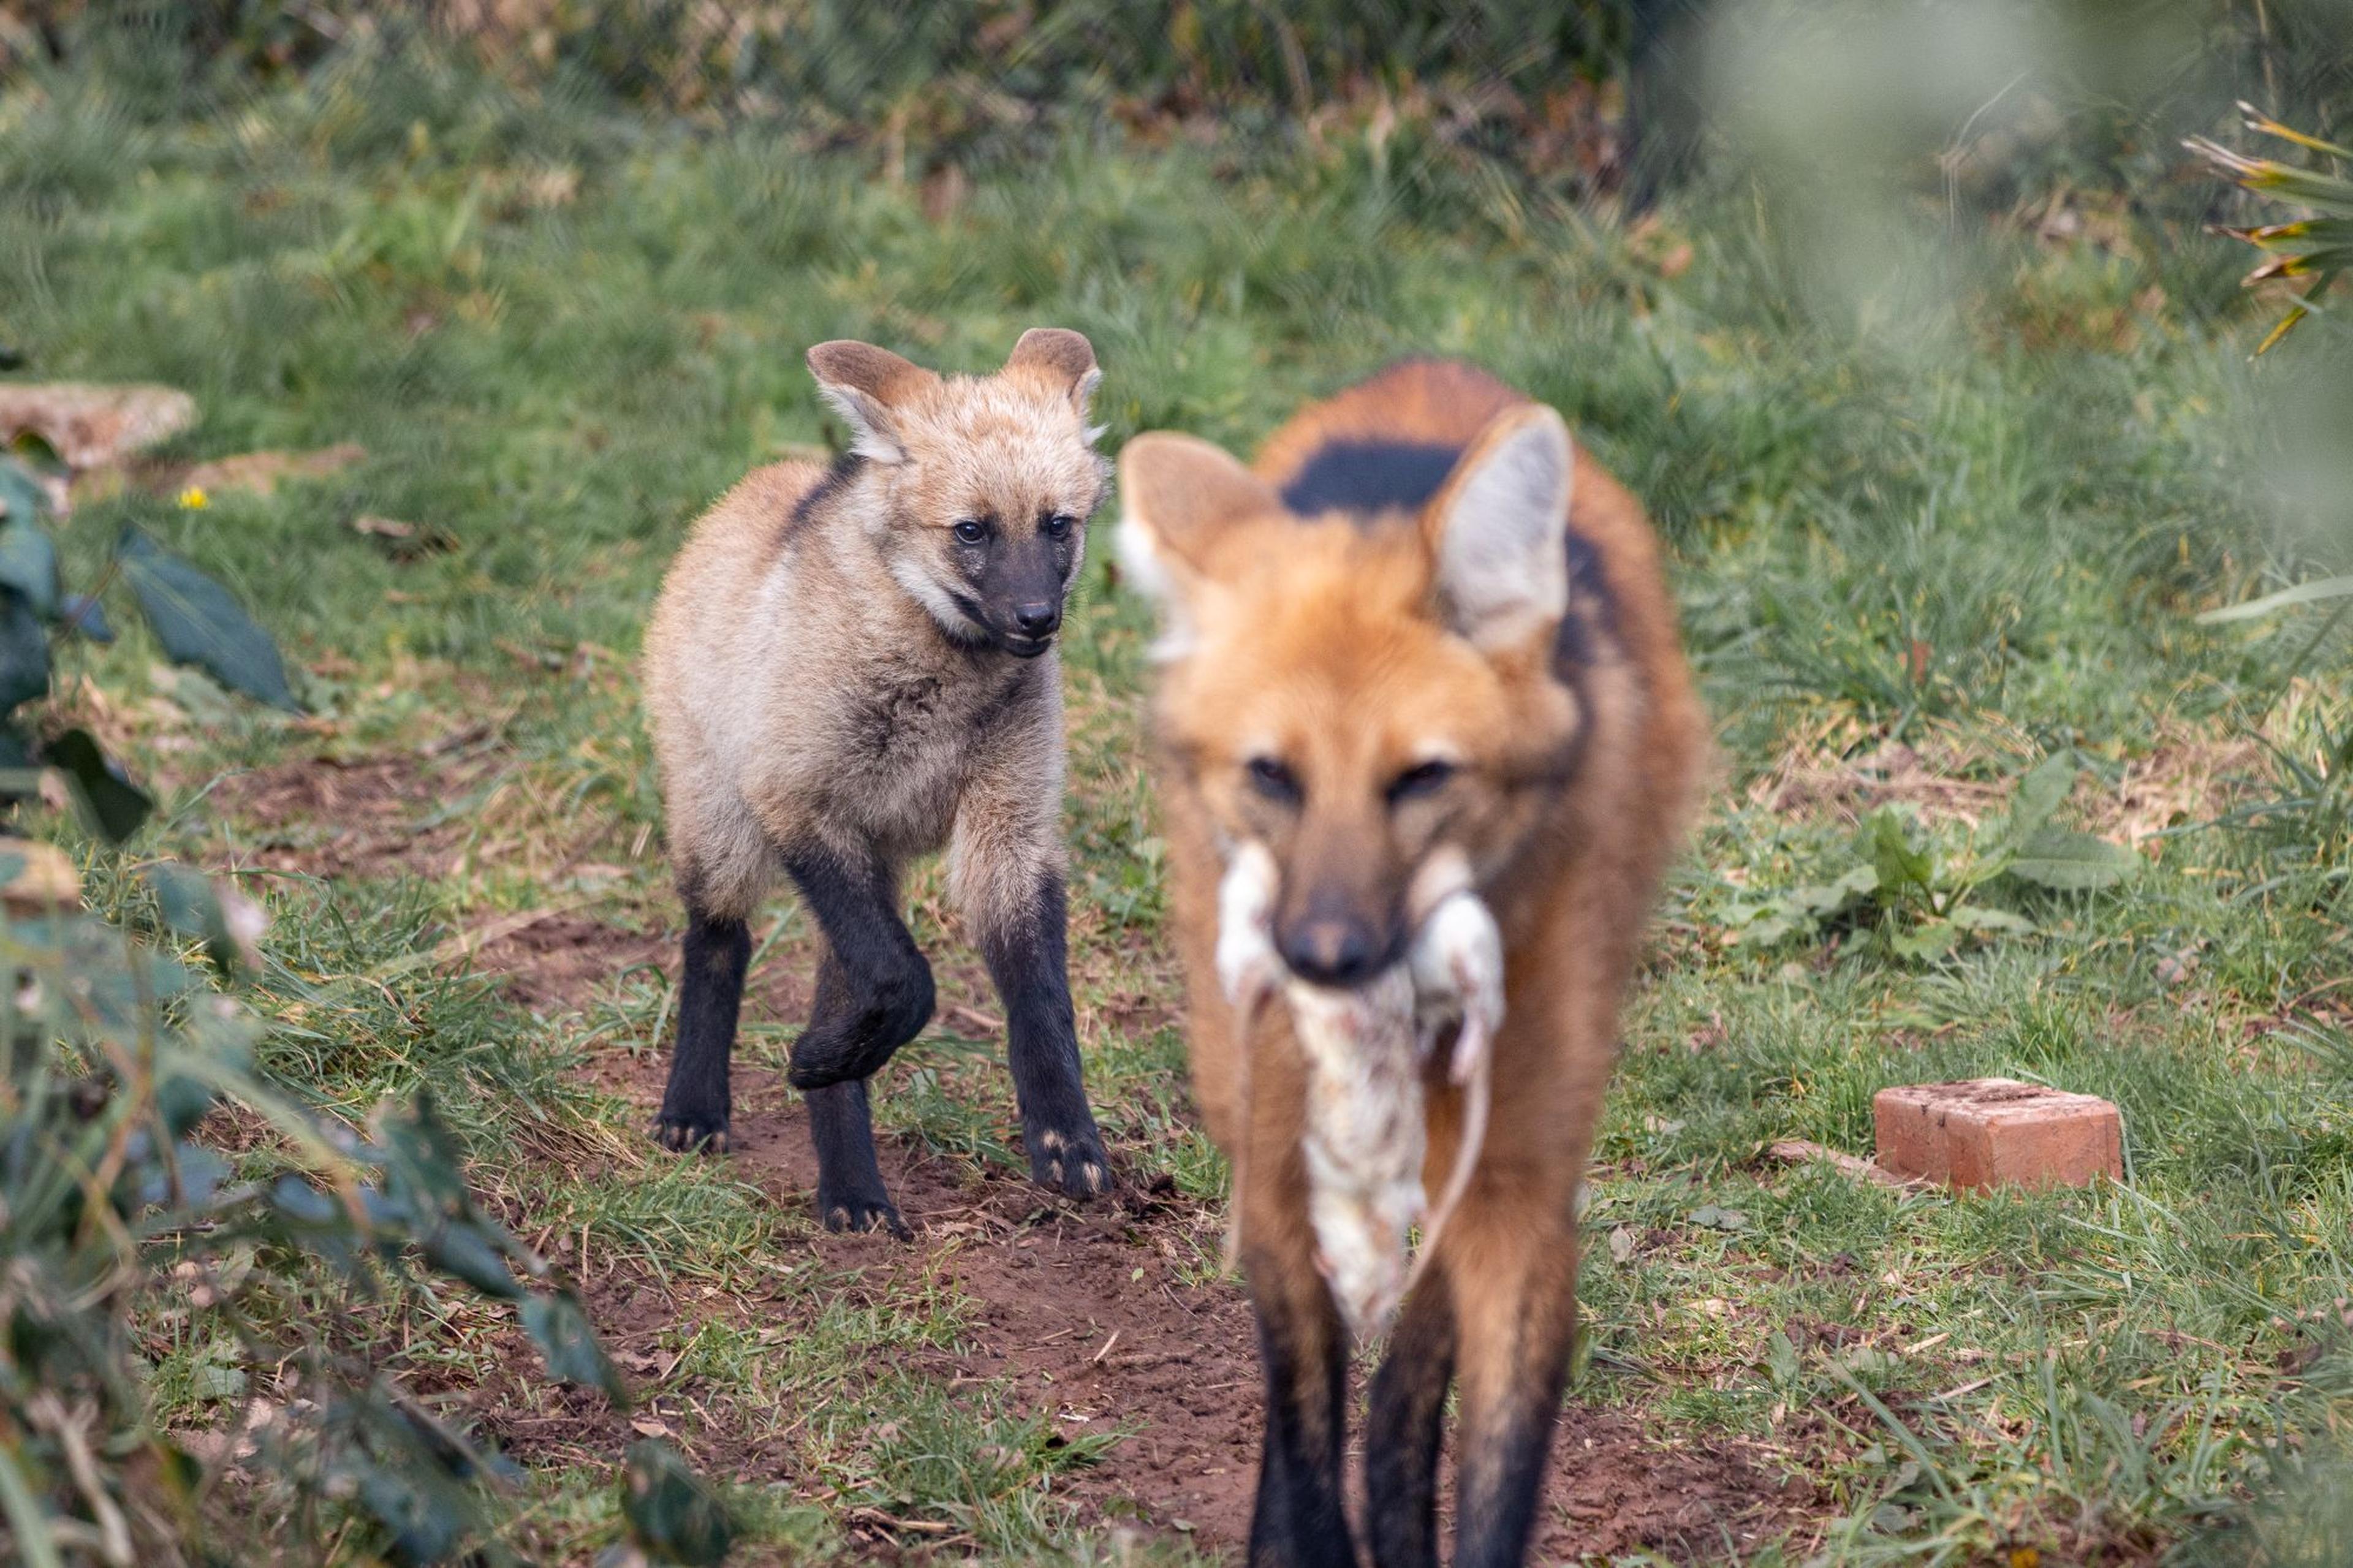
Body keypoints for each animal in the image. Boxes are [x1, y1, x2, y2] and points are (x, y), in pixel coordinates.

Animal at [640, 329, 1114, 1236]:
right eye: (972, 531)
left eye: (1057, 526)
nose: (1038, 618)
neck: (937, 685)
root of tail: (749, 491)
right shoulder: (796, 800)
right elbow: (909, 981)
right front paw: (815, 1058)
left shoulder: (1009, 835)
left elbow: (1042, 1002)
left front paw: (1066, 1136)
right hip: (730, 832)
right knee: (719, 939)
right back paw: (698, 1107)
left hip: (867, 867)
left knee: (841, 984)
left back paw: (852, 1186)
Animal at [1117, 360, 1706, 1567]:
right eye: (1275, 773)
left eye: (1424, 776)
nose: (1325, 954)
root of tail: (1434, 372)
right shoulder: (1276, 1177)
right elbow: (1305, 1433)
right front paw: (1306, 1537)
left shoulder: (1521, 1192)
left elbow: (1482, 1466)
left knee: (1409, 1369)